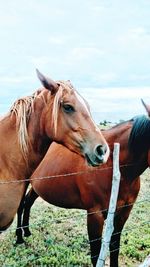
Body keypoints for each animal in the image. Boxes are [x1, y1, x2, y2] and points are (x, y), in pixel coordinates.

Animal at [19, 101, 150, 266]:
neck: (114, 166)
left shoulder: (123, 212)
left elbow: (115, 247)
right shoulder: (95, 215)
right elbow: (95, 254)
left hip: (37, 187)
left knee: (28, 202)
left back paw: (27, 231)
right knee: (20, 206)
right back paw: (19, 238)